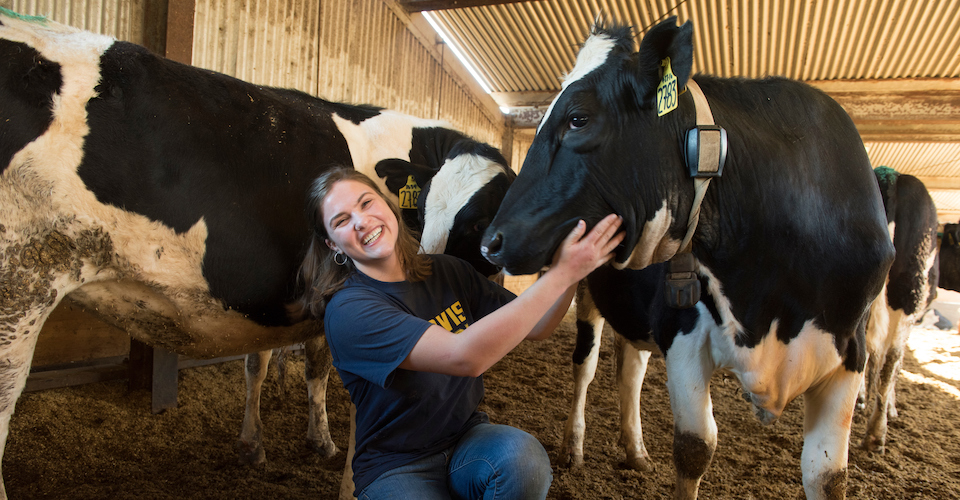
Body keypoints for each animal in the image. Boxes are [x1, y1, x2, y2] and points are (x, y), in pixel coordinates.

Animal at [484, 17, 896, 498]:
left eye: (578, 119)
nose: (491, 241)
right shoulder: (682, 332)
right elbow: (695, 447)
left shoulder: (850, 353)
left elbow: (827, 475)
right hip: (588, 296)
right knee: (584, 368)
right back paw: (574, 447)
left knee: (630, 371)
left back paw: (636, 451)